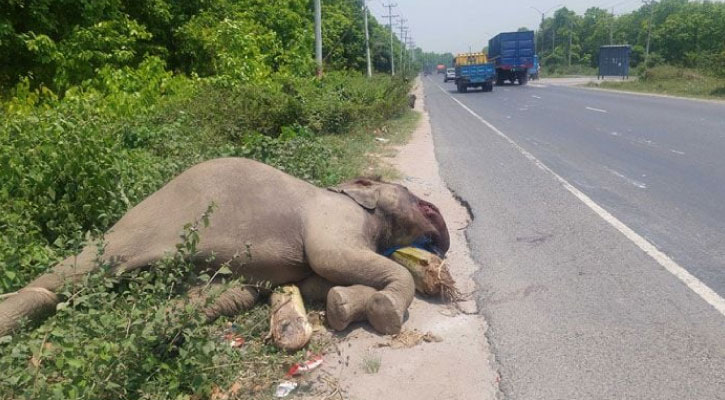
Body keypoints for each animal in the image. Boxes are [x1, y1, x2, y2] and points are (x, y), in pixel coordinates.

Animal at [0, 158, 450, 336]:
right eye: (415, 196)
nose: (441, 242)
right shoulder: (333, 216)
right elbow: (330, 258)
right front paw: (386, 312)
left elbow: (314, 283)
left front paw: (341, 304)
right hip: (139, 226)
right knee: (83, 266)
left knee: (227, 295)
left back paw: (150, 332)